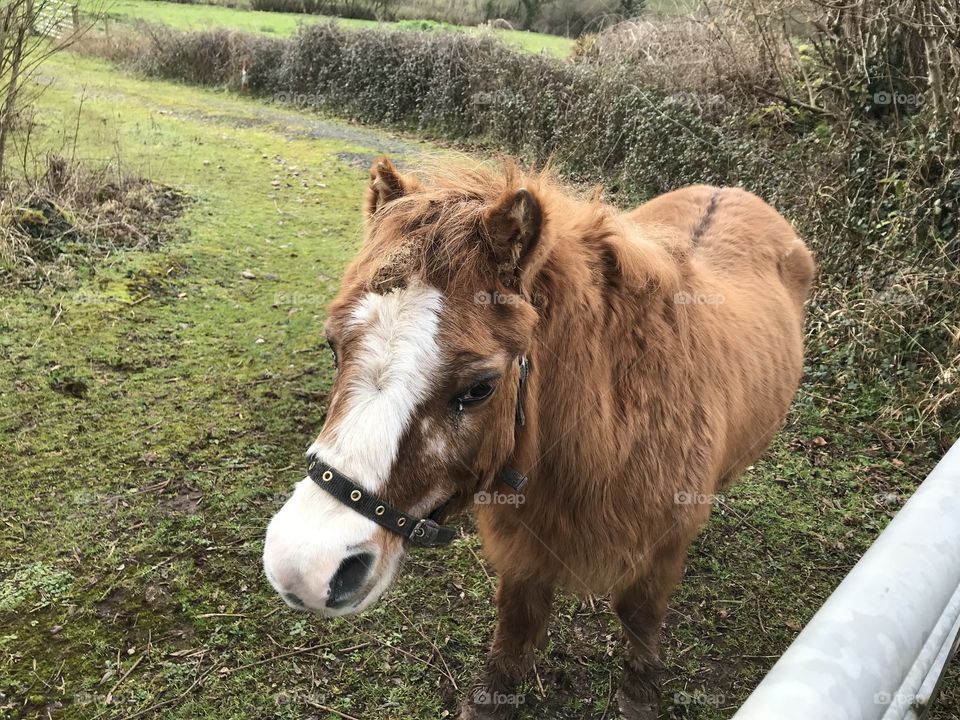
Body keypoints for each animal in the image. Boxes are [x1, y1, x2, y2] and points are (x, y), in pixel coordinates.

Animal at [263, 156, 815, 719]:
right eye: (333, 347)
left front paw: (639, 693)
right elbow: (517, 626)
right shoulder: (523, 551)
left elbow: (639, 619)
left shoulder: (658, 555)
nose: (304, 568)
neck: (613, 432)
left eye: (480, 387)